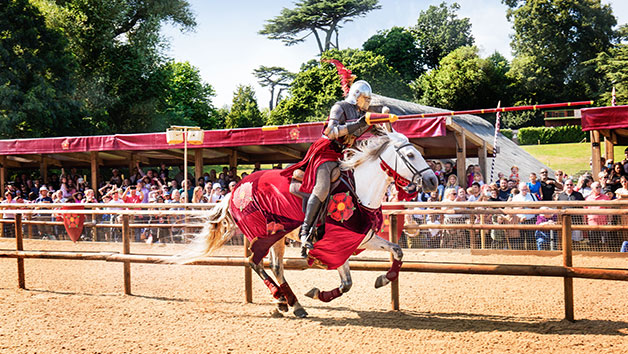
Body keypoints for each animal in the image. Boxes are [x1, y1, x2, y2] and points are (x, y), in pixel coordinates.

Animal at [178, 126, 436, 318]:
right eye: (410, 155)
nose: (433, 181)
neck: (360, 190)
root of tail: (233, 191)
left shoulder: (362, 239)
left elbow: (396, 251)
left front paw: (383, 278)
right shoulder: (335, 246)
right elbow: (347, 283)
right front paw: (318, 294)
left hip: (278, 236)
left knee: (275, 267)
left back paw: (291, 303)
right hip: (262, 235)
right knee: (254, 261)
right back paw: (281, 297)